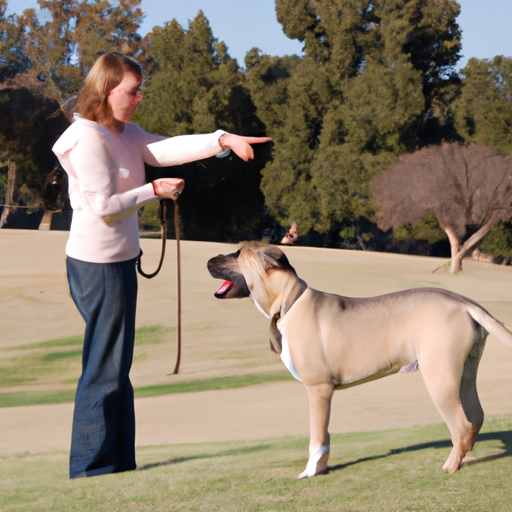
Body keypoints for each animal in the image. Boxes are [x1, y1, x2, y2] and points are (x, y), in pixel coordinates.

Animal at [206, 242, 512, 478]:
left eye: (237, 252)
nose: (208, 259)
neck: (289, 302)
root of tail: (464, 302)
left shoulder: (318, 390)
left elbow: (317, 438)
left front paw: (310, 472)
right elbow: (326, 437)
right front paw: (321, 469)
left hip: (440, 376)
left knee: (462, 424)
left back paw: (450, 466)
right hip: (466, 372)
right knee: (476, 417)